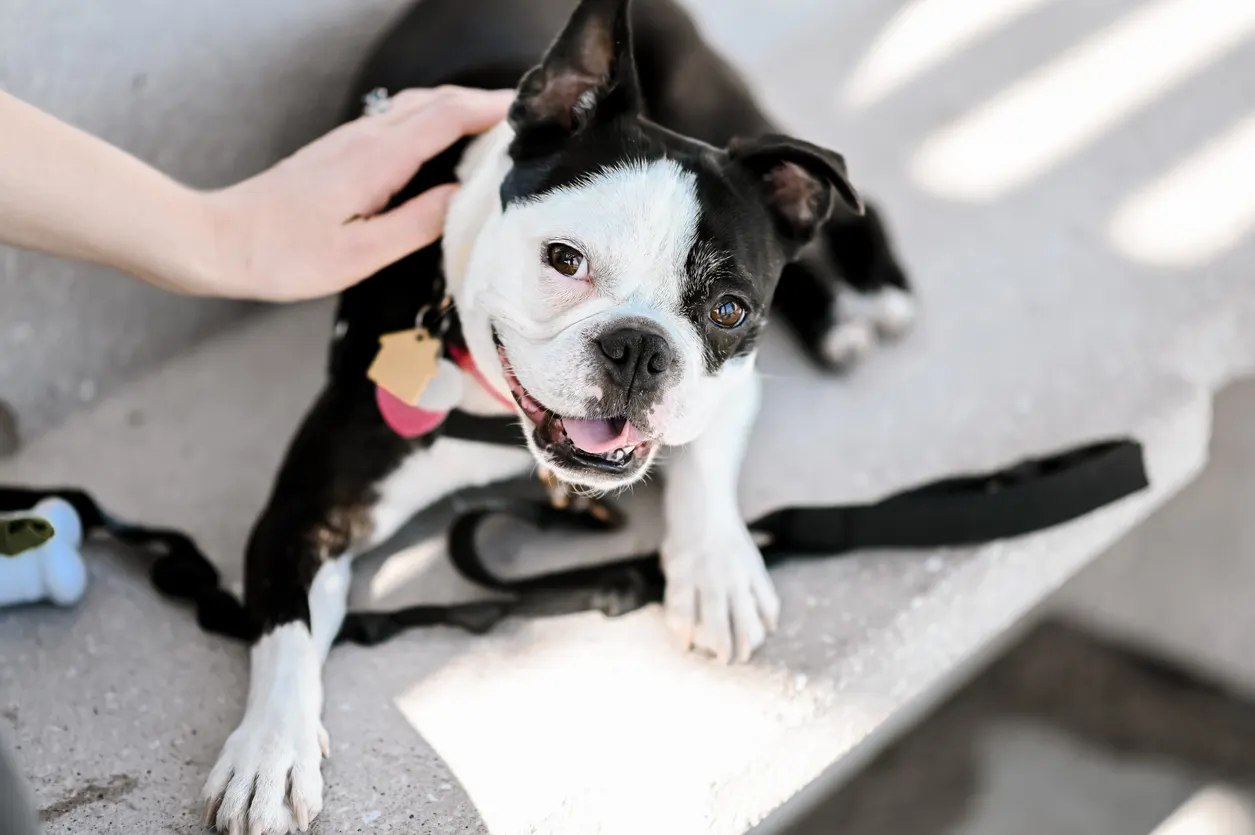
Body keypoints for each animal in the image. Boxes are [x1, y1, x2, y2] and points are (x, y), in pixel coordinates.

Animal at [203, 0, 913, 828]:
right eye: (564, 260)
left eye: (730, 310)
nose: (638, 348)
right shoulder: (307, 515)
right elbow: (284, 631)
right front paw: (269, 752)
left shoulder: (729, 382)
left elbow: (703, 463)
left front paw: (717, 569)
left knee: (840, 217)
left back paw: (863, 295)